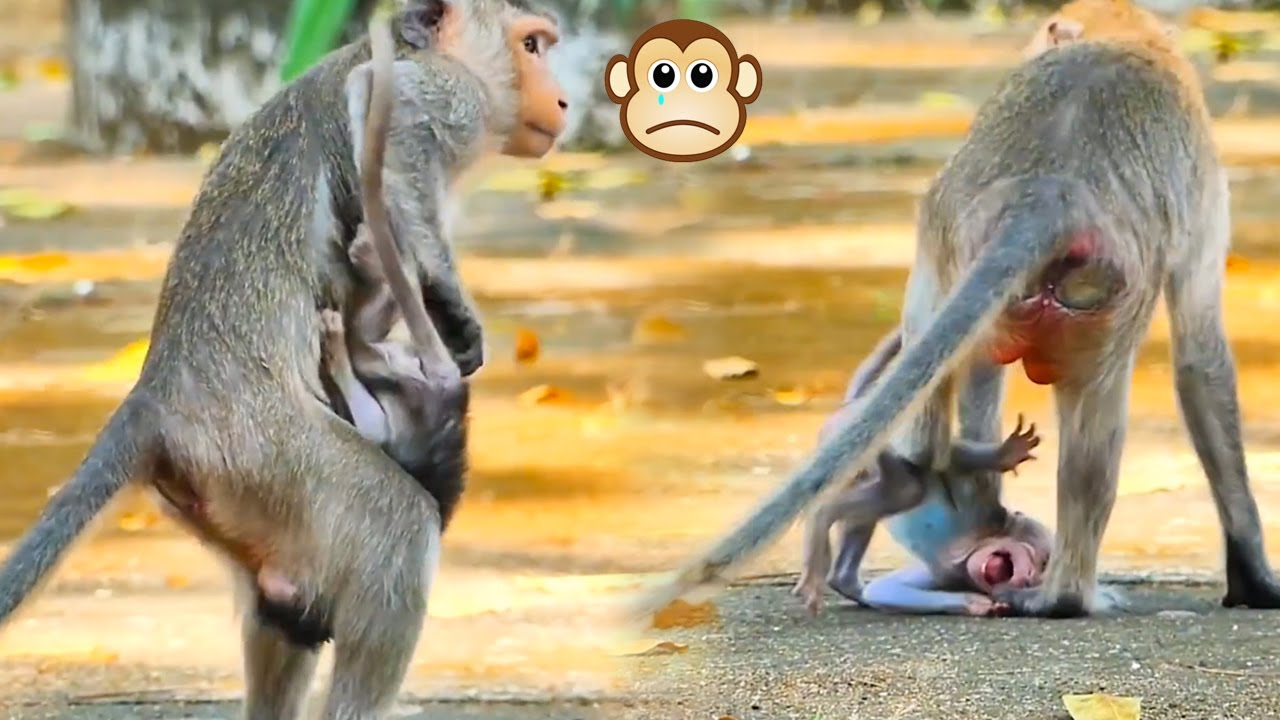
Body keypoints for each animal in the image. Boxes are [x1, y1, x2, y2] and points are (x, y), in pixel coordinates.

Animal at [0, 0, 568, 717]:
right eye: (532, 45)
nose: (563, 98)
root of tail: (157, 392)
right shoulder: (449, 97)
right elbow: (389, 137)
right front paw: (452, 318)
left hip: (240, 495)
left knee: (287, 610)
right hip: (271, 454)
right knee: (399, 530)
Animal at [792, 328, 1049, 616]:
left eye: (1040, 570)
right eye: (1041, 561)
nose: (1030, 576)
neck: (973, 548)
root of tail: (853, 406)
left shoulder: (950, 576)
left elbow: (885, 590)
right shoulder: (977, 521)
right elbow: (942, 459)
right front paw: (1005, 454)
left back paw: (845, 581)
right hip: (851, 431)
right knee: (905, 486)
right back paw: (820, 516)